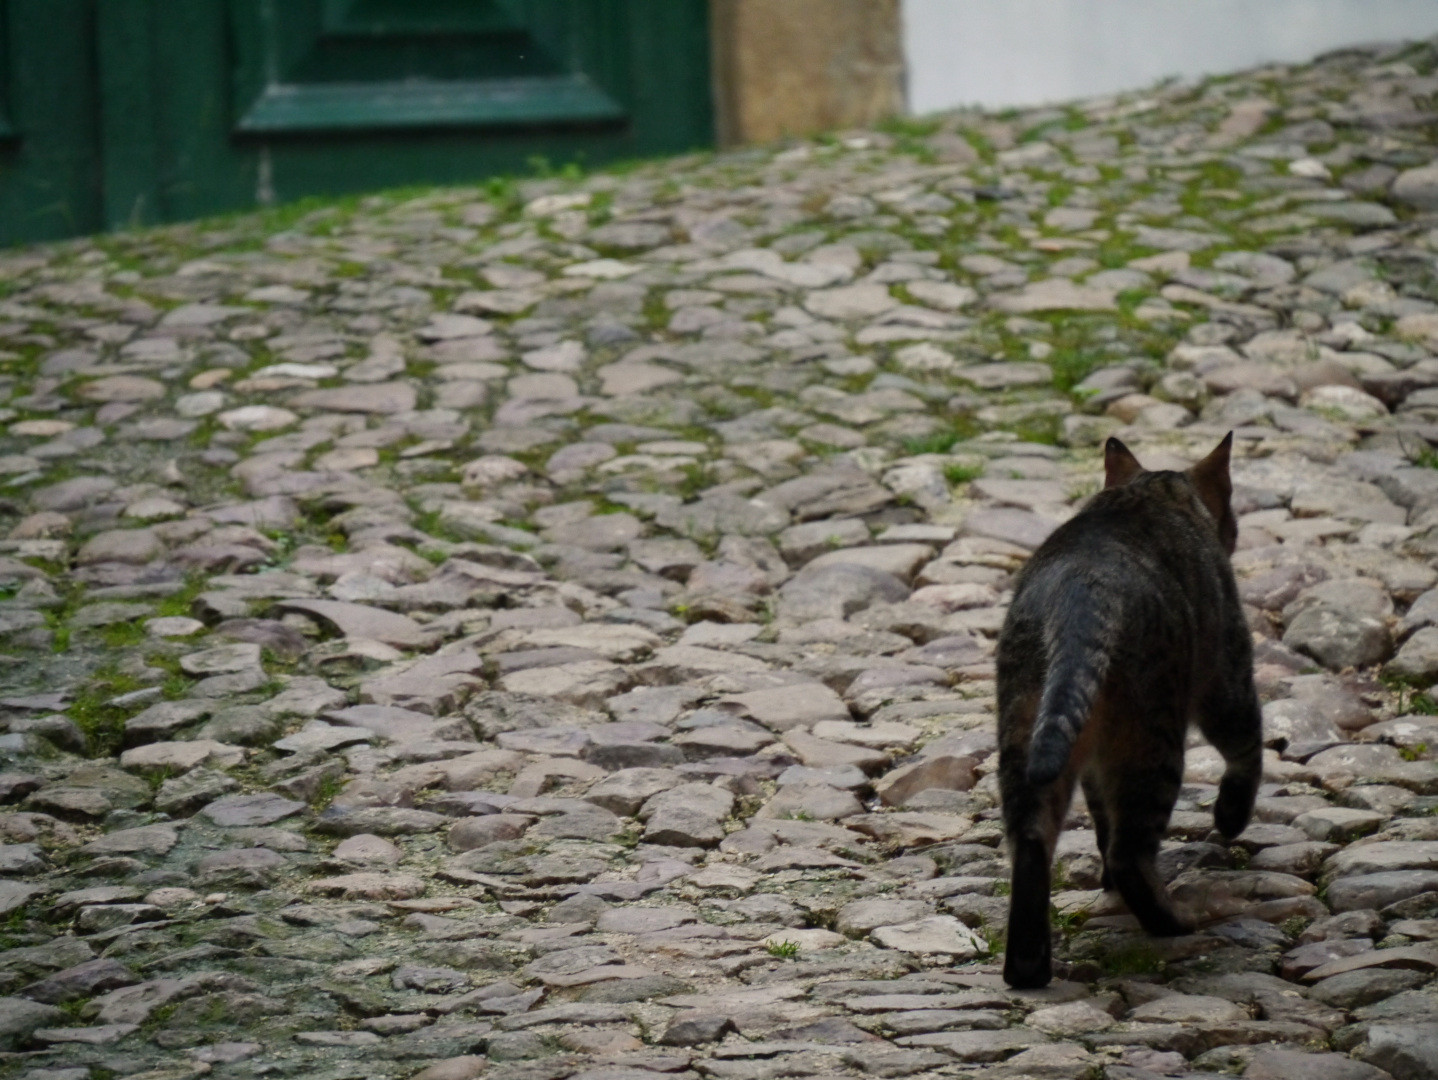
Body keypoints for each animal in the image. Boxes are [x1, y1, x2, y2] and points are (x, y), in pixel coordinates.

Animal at [995, 433, 1262, 989]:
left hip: (1028, 736)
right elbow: (1248, 750)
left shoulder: (1094, 766)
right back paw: (1174, 921)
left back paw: (1028, 967)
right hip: (1155, 741)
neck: (1150, 492)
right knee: (1129, 854)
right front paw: (1230, 816)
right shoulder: (1228, 674)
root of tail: (1080, 596)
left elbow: (1100, 820)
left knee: (1032, 842)